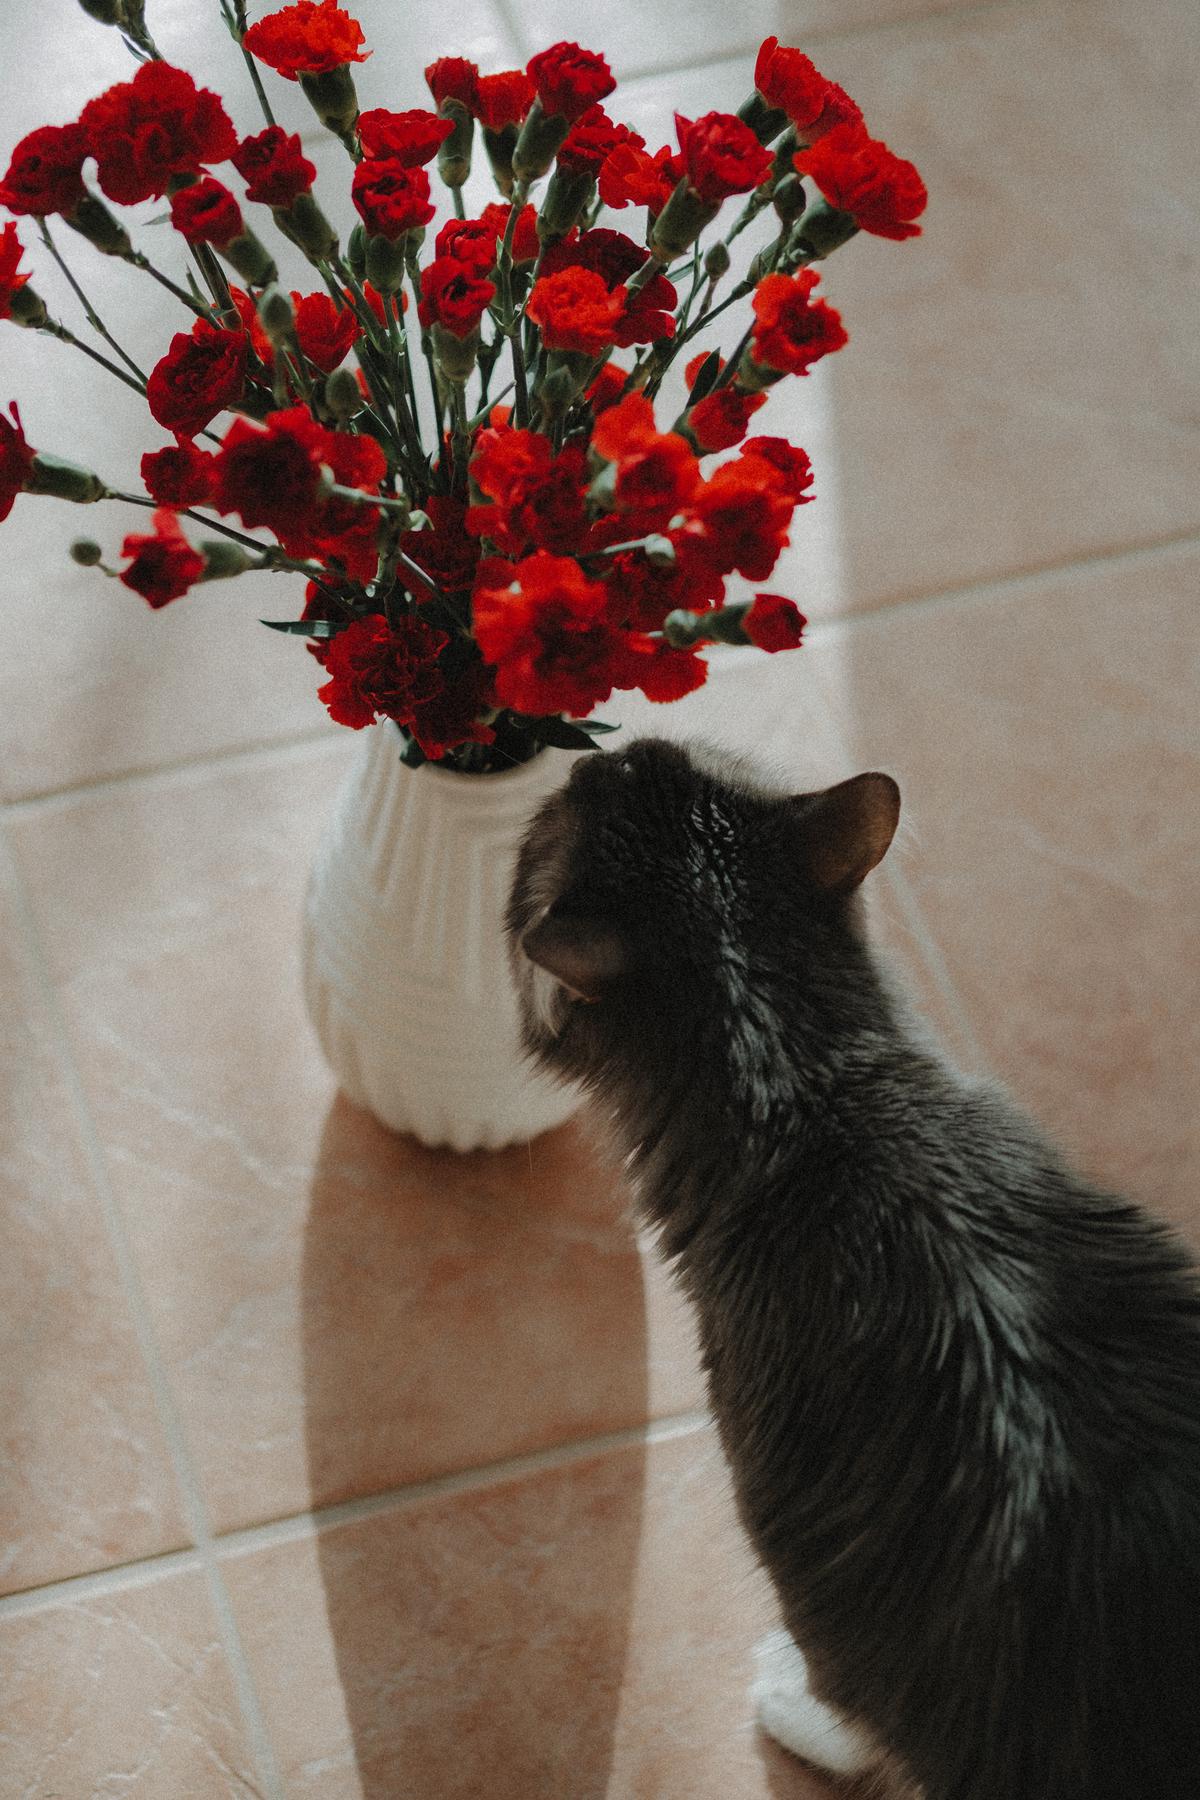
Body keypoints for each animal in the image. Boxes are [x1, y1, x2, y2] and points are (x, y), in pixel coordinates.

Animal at [503, 734, 1200, 1800]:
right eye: (643, 757)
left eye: (583, 787)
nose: (604, 748)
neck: (813, 1097)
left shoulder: (826, 1601)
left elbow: (849, 1715)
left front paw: (790, 1711)